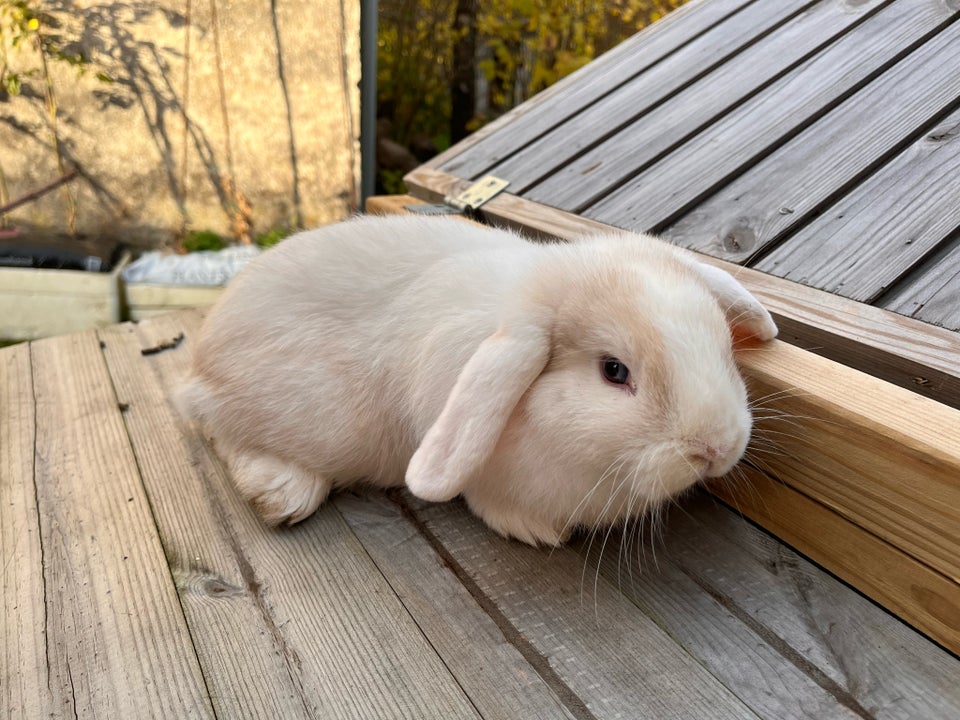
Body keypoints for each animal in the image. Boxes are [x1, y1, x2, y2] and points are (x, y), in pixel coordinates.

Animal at [180, 214, 776, 544]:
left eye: (721, 344)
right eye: (614, 371)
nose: (716, 448)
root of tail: (200, 362)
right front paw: (535, 530)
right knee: (223, 435)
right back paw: (279, 493)